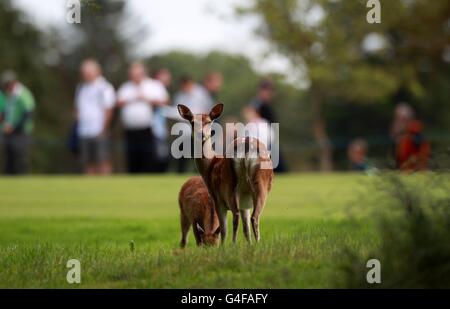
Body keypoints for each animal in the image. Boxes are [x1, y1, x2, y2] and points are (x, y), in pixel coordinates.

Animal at [178, 103, 272, 243]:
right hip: (260, 183)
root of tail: (246, 148)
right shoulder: (245, 202)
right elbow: (246, 230)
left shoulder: (217, 198)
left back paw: (232, 244)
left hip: (229, 186)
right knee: (254, 217)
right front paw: (250, 245)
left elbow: (223, 229)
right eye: (192, 121)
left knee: (235, 217)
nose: (201, 134)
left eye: (209, 121)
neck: (210, 166)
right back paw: (257, 244)